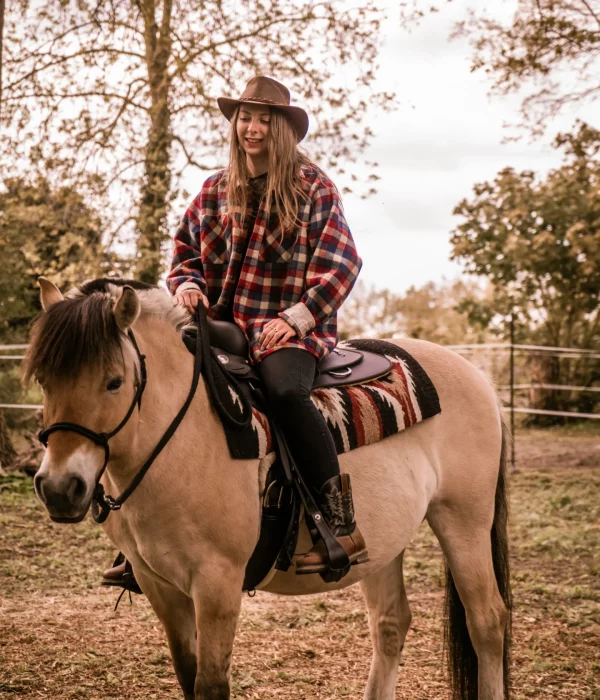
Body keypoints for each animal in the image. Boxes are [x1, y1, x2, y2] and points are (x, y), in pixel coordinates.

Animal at [24, 278, 510, 700]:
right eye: (44, 380)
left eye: (114, 381)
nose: (60, 487)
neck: (186, 433)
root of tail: (478, 376)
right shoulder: (158, 584)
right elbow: (187, 677)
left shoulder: (217, 584)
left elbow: (210, 686)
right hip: (386, 542)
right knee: (391, 624)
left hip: (463, 521)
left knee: (487, 621)